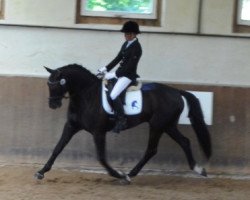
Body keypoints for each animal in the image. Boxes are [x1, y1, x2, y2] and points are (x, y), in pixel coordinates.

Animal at [35, 63, 211, 183]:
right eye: (48, 84)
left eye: (58, 84)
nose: (53, 104)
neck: (86, 95)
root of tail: (176, 91)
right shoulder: (71, 126)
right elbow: (57, 148)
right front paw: (41, 171)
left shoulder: (98, 132)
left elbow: (101, 157)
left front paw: (117, 174)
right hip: (168, 125)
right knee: (184, 142)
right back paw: (198, 169)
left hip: (157, 125)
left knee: (152, 150)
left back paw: (128, 175)